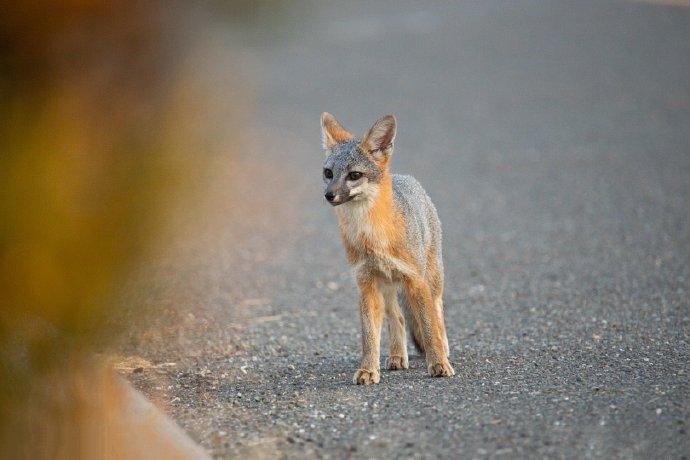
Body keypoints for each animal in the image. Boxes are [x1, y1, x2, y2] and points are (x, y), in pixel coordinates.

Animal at [322, 112, 454, 384]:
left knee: (437, 312)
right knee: (399, 318)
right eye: (328, 173)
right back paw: (397, 357)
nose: (329, 195)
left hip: (432, 279)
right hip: (389, 287)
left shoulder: (416, 281)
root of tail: (407, 178)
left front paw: (438, 363)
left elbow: (428, 326)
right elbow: (369, 336)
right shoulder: (366, 284)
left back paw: (443, 348)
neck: (373, 235)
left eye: (354, 175)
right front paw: (368, 369)